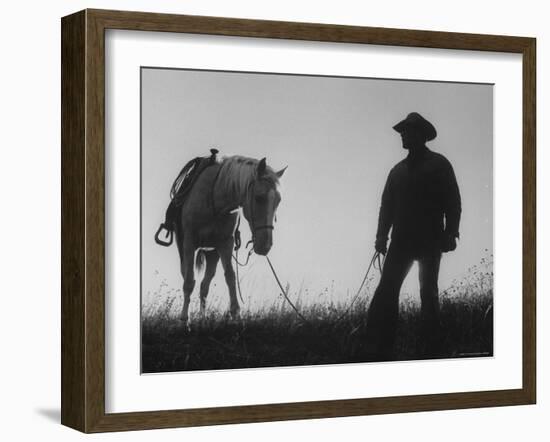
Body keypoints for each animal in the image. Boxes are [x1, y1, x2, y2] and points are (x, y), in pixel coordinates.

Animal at [167, 155, 288, 324]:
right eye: (259, 198)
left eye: (278, 200)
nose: (265, 245)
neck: (214, 198)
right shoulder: (190, 243)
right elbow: (189, 282)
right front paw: (185, 319)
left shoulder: (226, 244)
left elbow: (230, 276)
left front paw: (236, 314)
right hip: (185, 249)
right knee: (188, 277)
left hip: (212, 253)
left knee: (205, 285)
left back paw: (203, 318)